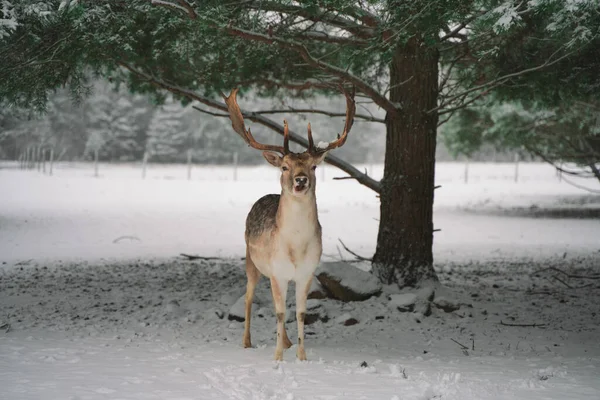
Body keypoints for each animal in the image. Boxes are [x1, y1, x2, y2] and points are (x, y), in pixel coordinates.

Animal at [223, 88, 356, 362]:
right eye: (285, 167)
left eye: (314, 166)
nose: (300, 180)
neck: (295, 247)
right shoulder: (278, 271)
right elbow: (280, 313)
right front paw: (277, 359)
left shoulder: (306, 272)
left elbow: (299, 313)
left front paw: (301, 356)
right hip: (251, 260)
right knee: (249, 298)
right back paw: (247, 341)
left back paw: (286, 342)